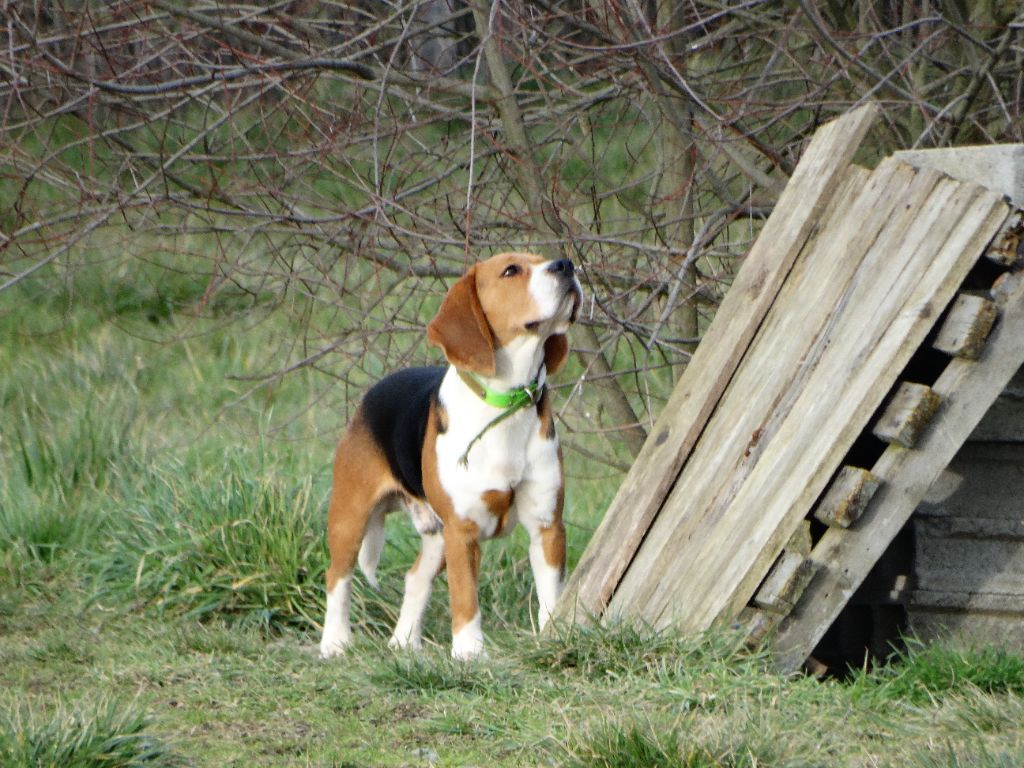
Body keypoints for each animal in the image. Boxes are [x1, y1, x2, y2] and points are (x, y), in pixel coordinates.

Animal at [319, 252, 581, 663]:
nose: (566, 265)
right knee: (337, 576)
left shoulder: (547, 526)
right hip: (351, 515)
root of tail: (372, 393)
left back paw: (403, 642)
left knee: (414, 578)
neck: (504, 402)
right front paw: (469, 652)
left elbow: (551, 594)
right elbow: (465, 596)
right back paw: (334, 641)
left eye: (542, 259)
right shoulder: (463, 531)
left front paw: (554, 638)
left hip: (437, 536)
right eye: (511, 270)